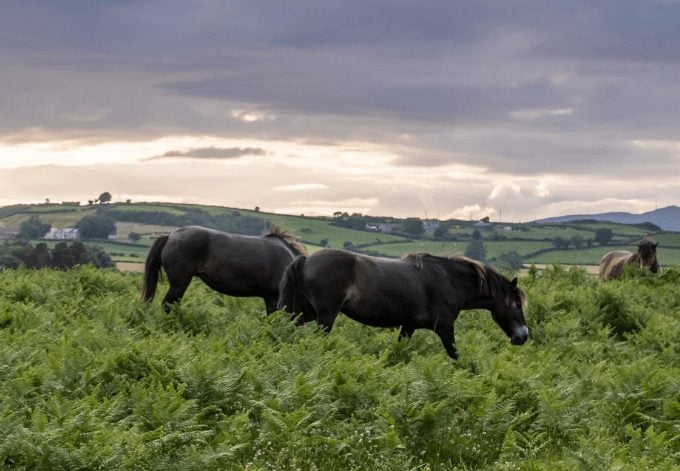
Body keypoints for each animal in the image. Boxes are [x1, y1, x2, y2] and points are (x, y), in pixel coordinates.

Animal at [278, 249, 528, 360]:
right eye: (517, 304)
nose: (523, 336)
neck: (449, 280)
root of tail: (306, 259)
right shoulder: (445, 328)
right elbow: (455, 355)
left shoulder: (408, 326)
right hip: (325, 316)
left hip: (306, 313)